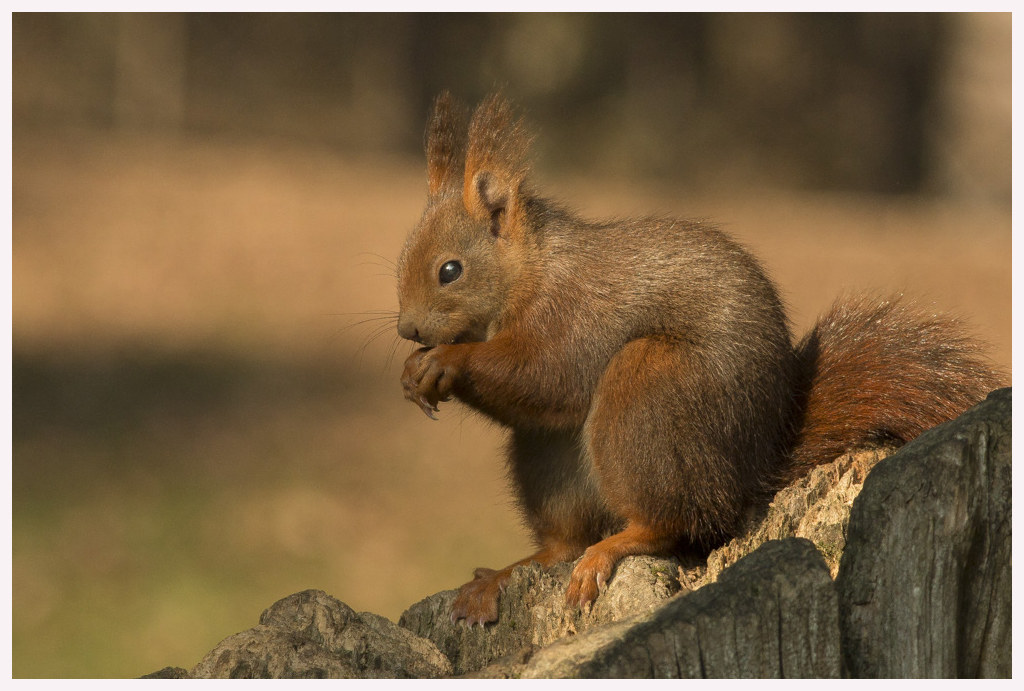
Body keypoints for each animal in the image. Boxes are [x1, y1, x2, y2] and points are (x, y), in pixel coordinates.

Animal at [395, 92, 1004, 626]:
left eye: (450, 270)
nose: (407, 329)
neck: (533, 270)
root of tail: (750, 471)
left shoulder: (577, 313)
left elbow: (548, 377)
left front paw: (446, 360)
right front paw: (412, 372)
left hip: (650, 391)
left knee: (673, 524)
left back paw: (615, 546)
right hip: (549, 461)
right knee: (564, 542)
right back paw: (505, 575)